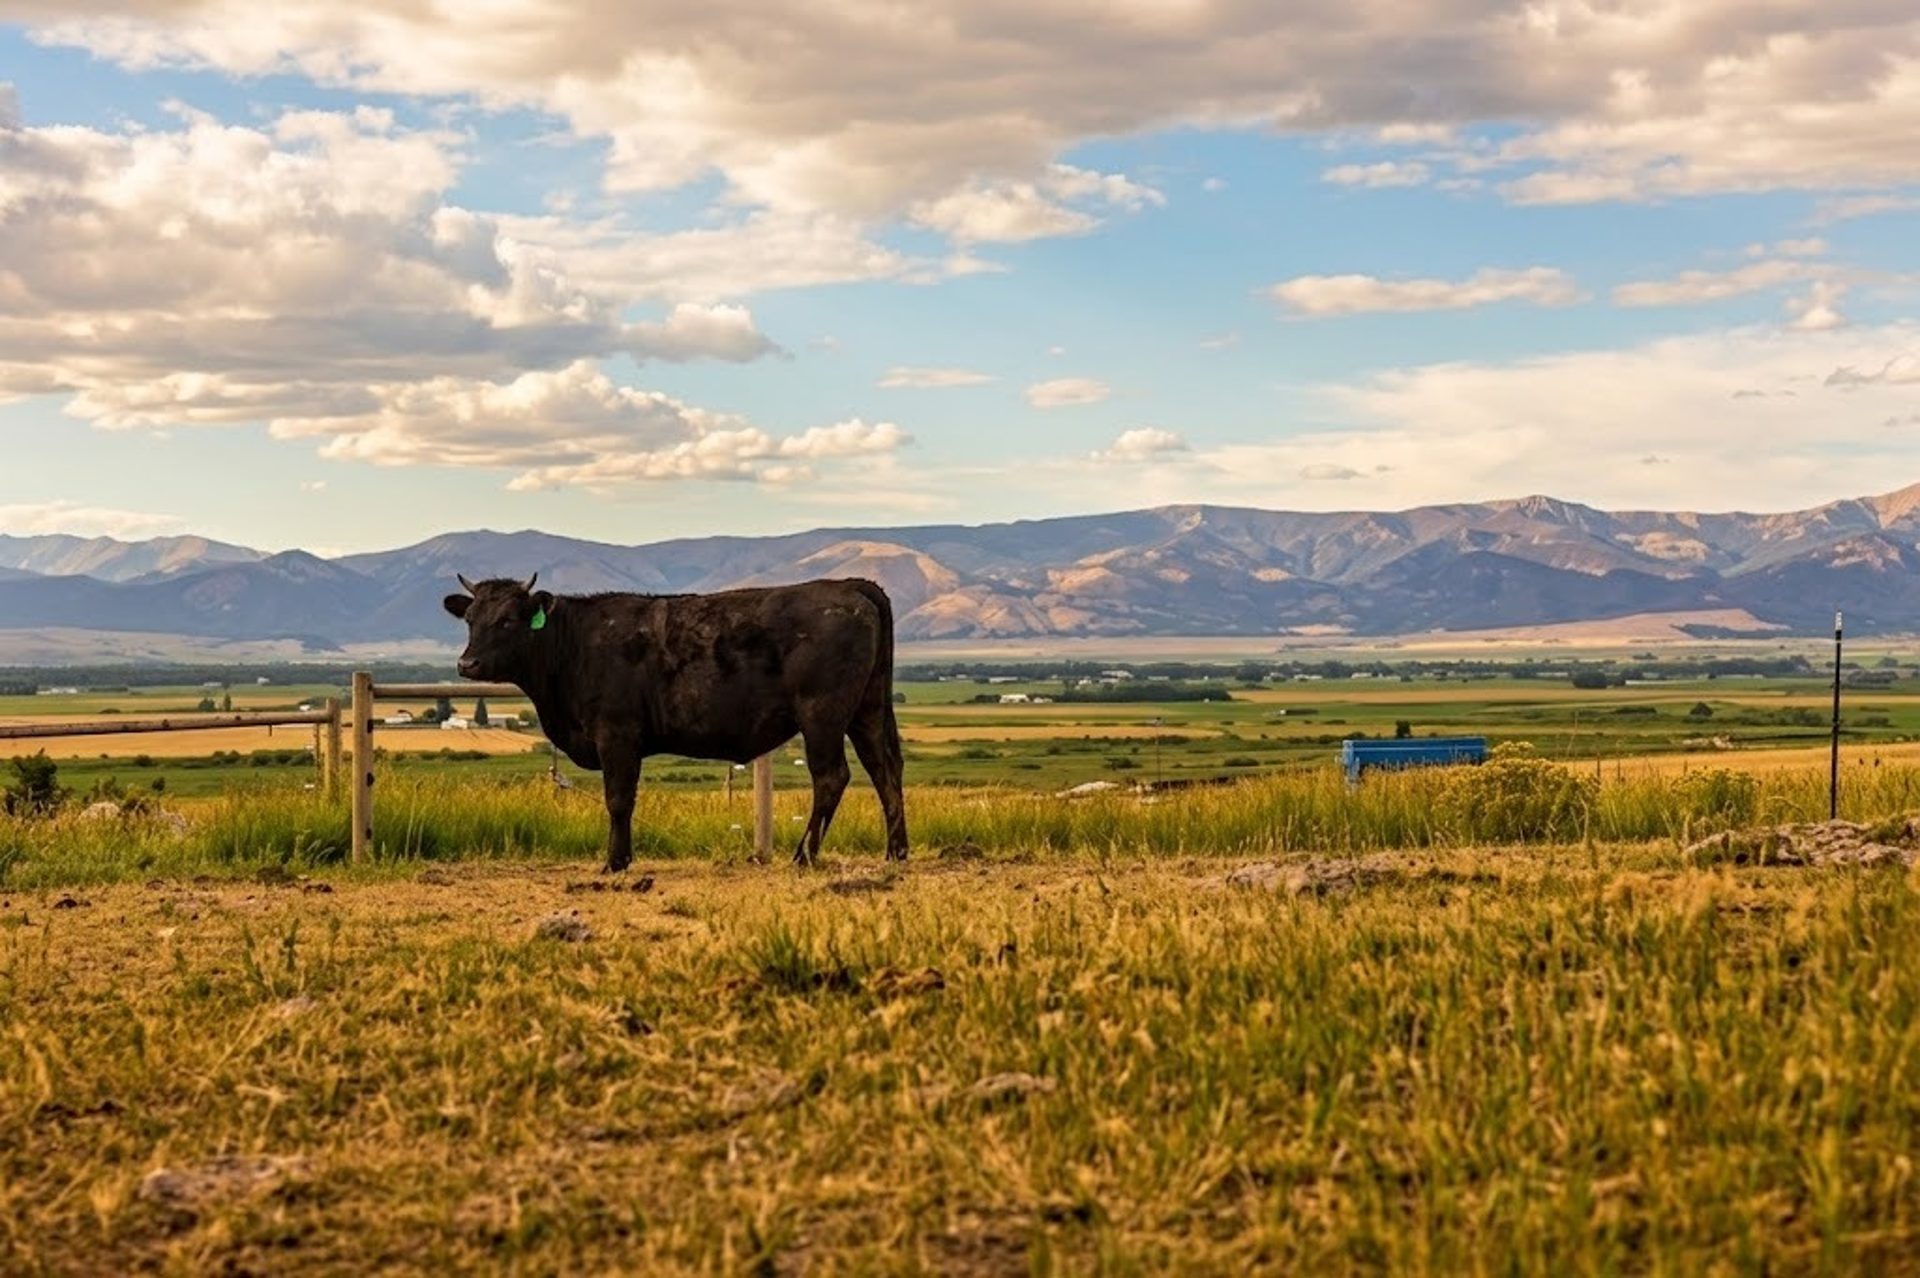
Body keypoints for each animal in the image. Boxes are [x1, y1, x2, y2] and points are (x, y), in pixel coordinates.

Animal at [443, 573, 907, 871]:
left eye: (507, 619)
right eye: (470, 619)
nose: (467, 664)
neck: (573, 645)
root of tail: (849, 586)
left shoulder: (617, 735)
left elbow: (618, 799)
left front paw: (614, 862)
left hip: (822, 714)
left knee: (832, 776)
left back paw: (805, 855)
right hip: (866, 711)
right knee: (885, 770)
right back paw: (896, 851)